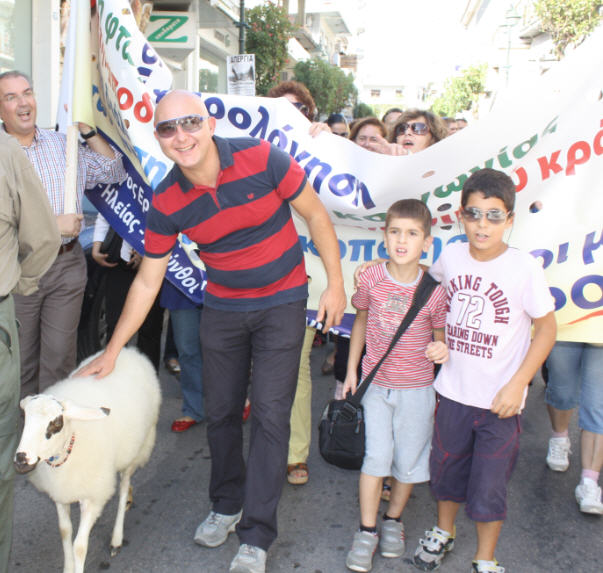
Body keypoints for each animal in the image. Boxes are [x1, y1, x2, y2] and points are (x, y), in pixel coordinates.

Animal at [15, 346, 163, 568]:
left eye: (56, 423)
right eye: (25, 419)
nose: (21, 459)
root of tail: (131, 352)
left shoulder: (93, 495)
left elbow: (79, 546)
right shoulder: (60, 492)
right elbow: (65, 531)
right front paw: (68, 567)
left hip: (134, 452)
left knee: (122, 490)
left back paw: (116, 538)